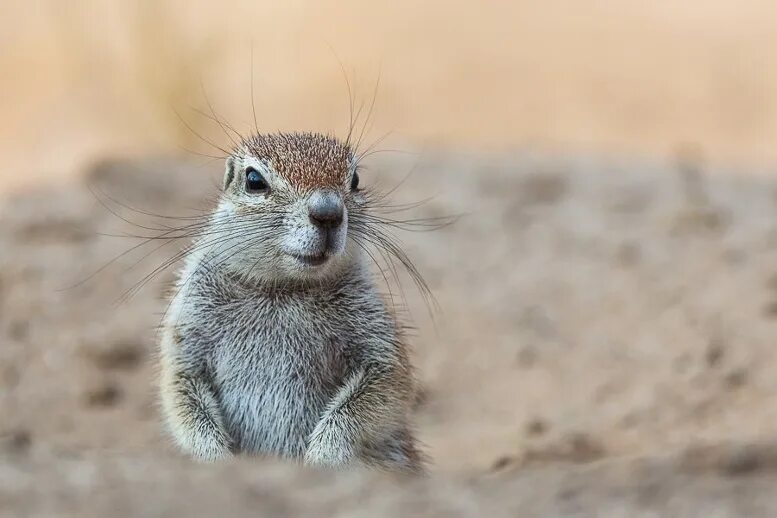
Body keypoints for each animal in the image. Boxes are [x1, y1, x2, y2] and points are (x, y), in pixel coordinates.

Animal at [159, 132, 424, 474]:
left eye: (355, 179)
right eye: (254, 180)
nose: (328, 212)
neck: (283, 290)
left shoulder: (377, 338)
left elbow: (382, 390)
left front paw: (323, 458)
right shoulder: (187, 331)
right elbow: (181, 396)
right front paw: (216, 459)